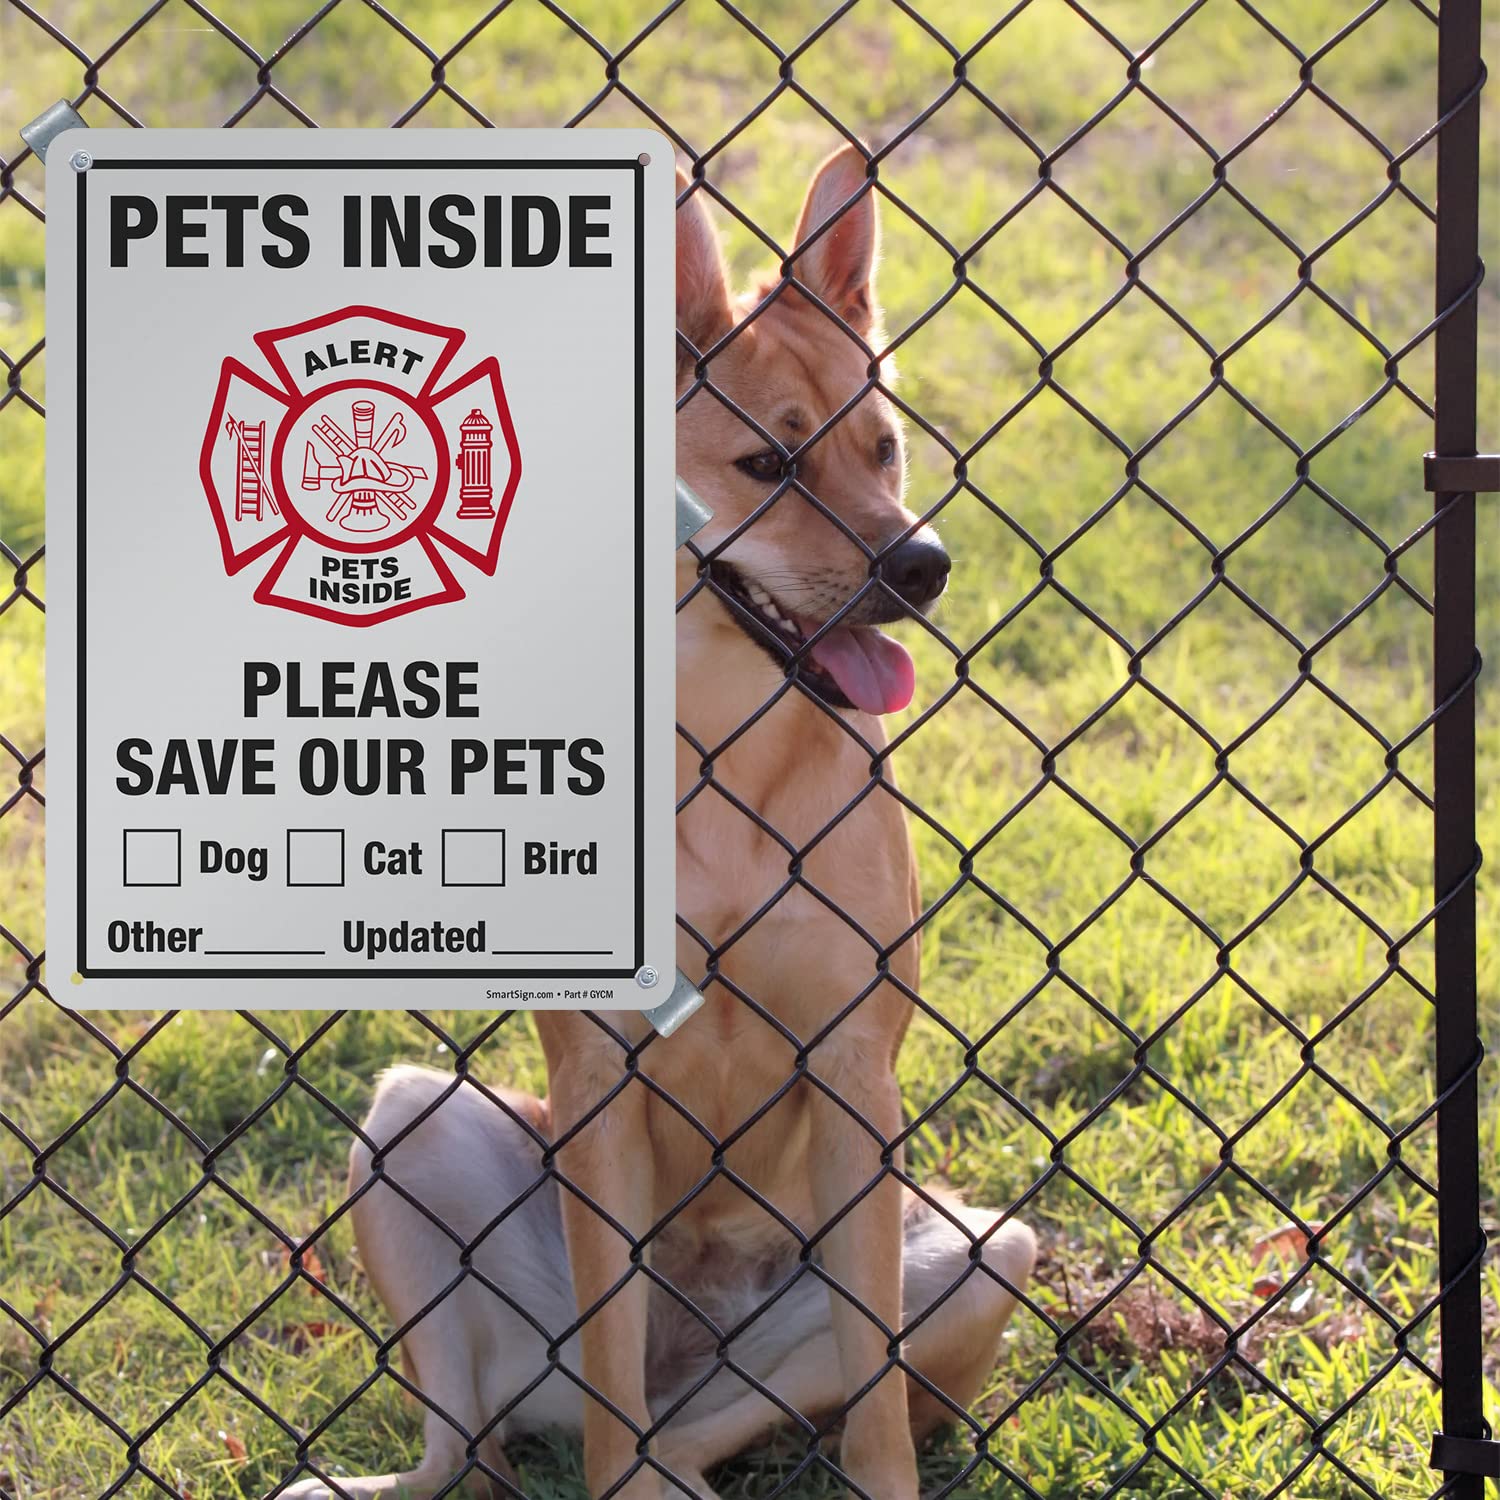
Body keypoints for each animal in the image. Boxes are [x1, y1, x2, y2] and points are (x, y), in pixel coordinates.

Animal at [279, 149, 1032, 1500]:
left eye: (884, 449)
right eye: (768, 467)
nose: (925, 567)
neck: (718, 751)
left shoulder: (854, 1080)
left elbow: (877, 1413)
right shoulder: (599, 1084)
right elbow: (610, 1356)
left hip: (980, 1251)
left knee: (710, 1425)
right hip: (413, 1125)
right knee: (500, 1437)